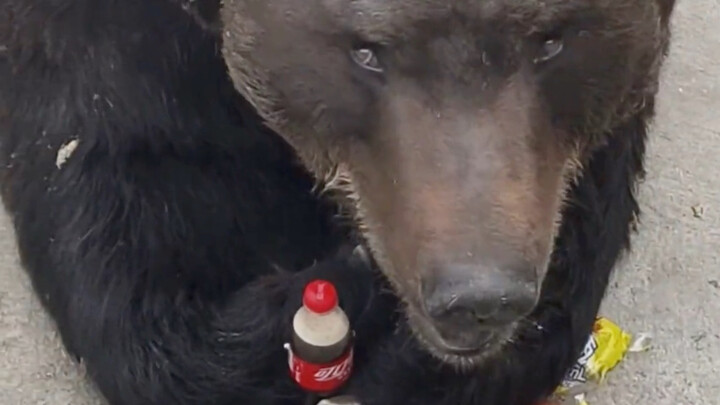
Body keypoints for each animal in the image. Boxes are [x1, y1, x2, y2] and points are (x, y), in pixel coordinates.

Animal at [0, 0, 675, 404]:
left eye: (551, 41)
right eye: (365, 51)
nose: (479, 297)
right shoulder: (119, 66)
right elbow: (127, 269)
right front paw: (338, 285)